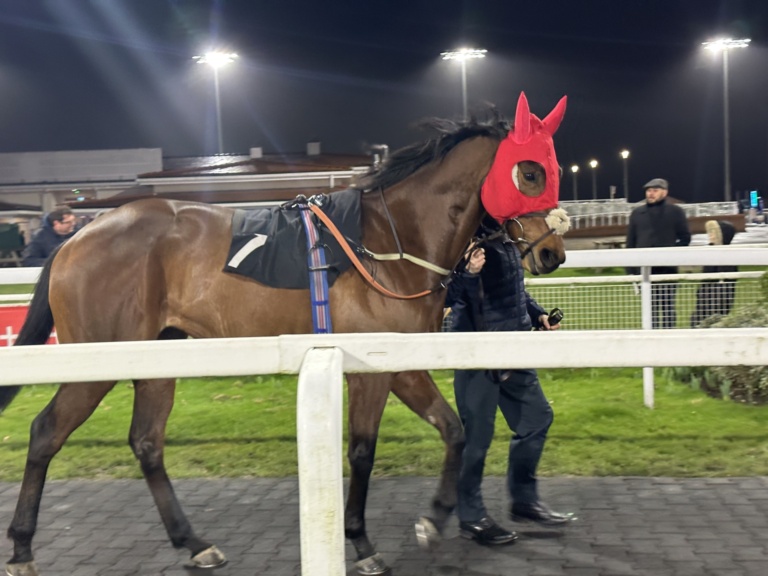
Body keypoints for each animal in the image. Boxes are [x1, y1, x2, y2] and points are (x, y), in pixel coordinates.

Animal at [1, 95, 568, 576]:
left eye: (555, 172)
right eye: (531, 172)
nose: (552, 253)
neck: (389, 245)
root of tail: (77, 237)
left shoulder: (400, 361)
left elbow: (453, 429)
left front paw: (434, 519)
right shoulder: (369, 368)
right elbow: (362, 451)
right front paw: (362, 543)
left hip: (157, 357)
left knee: (146, 442)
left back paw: (194, 543)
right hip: (95, 361)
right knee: (46, 432)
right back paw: (23, 548)